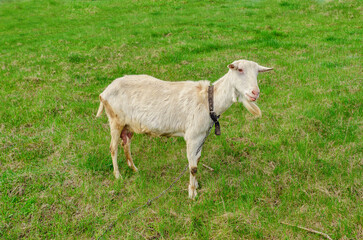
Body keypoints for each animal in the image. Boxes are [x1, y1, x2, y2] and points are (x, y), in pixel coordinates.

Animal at [96, 60, 272, 199]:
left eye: (257, 72)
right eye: (240, 70)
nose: (255, 93)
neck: (209, 100)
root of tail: (104, 92)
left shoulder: (201, 136)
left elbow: (197, 161)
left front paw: (197, 185)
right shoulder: (193, 136)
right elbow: (193, 167)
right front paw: (192, 194)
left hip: (128, 124)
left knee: (125, 143)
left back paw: (134, 169)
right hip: (115, 120)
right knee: (113, 148)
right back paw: (118, 176)